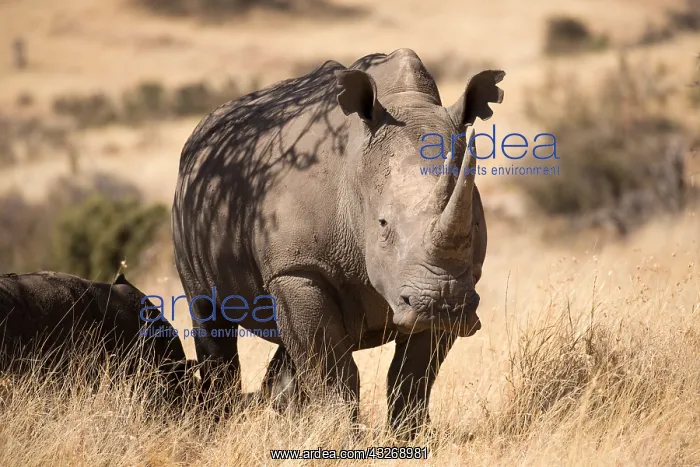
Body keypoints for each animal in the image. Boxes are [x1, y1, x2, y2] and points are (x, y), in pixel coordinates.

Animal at [172, 48, 503, 437]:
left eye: (474, 224)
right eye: (383, 224)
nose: (441, 304)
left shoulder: (458, 280)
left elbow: (413, 374)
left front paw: (410, 437)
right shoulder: (298, 267)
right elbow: (332, 369)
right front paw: (340, 437)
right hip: (191, 206)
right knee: (209, 314)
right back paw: (218, 425)